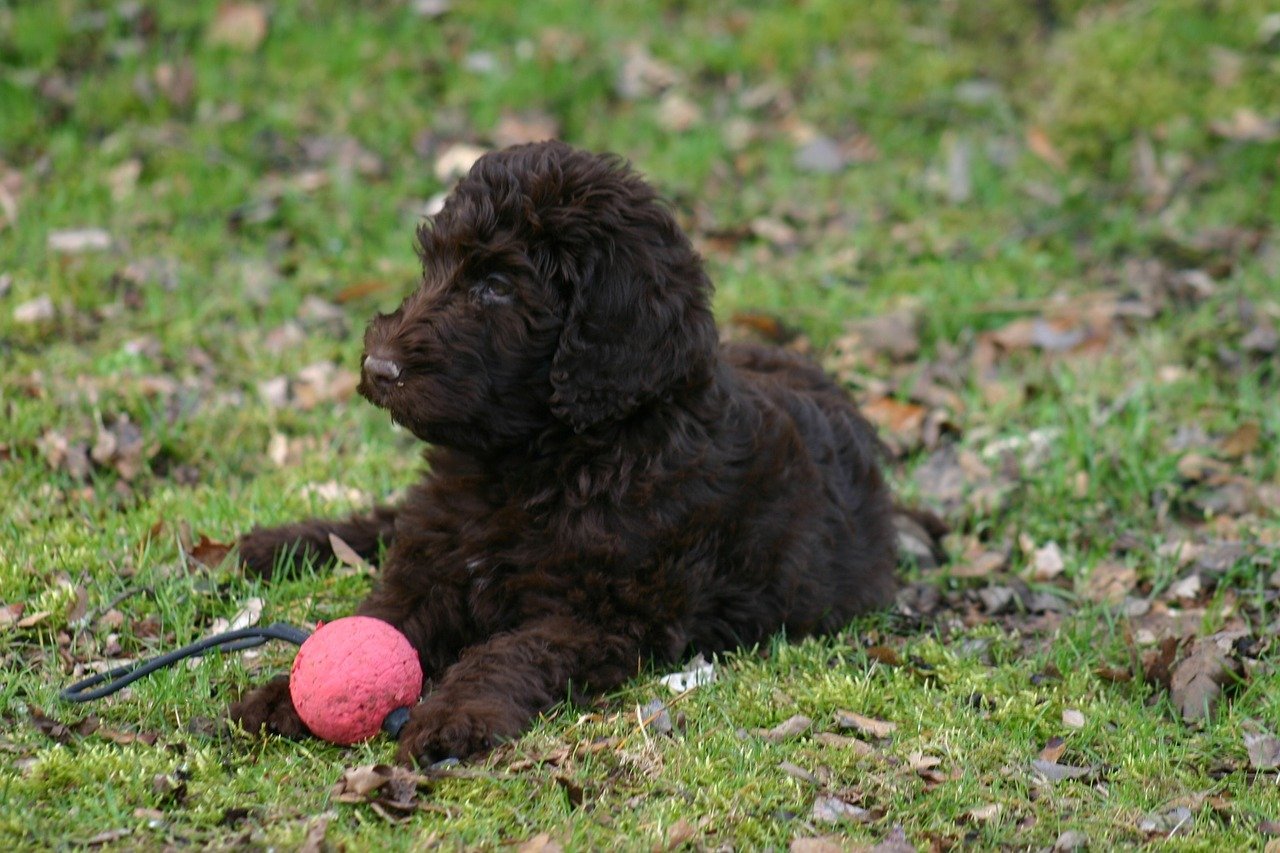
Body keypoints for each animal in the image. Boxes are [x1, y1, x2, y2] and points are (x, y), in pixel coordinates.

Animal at [230, 139, 896, 763]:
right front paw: (285, 696)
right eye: (433, 266)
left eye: (497, 286)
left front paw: (456, 715)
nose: (377, 367)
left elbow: (513, 650)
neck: (542, 460)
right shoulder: (436, 566)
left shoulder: (601, 615)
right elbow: (377, 621)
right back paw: (268, 545)